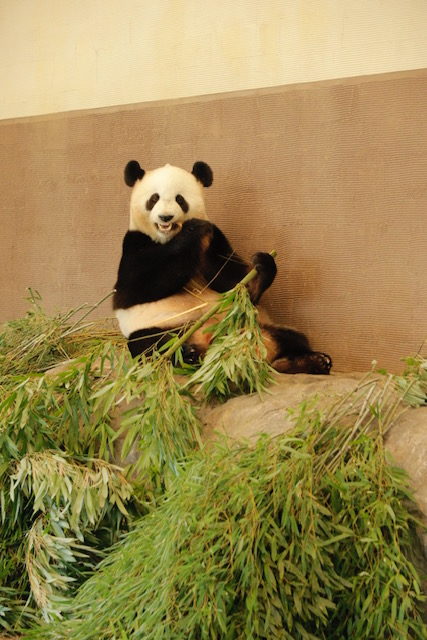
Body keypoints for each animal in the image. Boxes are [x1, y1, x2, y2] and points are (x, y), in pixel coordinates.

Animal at [113, 160, 332, 375]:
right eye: (154, 198)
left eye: (180, 199)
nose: (166, 217)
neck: (168, 238)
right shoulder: (134, 244)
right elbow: (135, 289)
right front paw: (192, 230)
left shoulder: (214, 241)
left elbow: (231, 280)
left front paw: (261, 267)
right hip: (163, 327)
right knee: (150, 344)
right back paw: (187, 353)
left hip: (257, 324)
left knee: (292, 338)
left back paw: (308, 362)